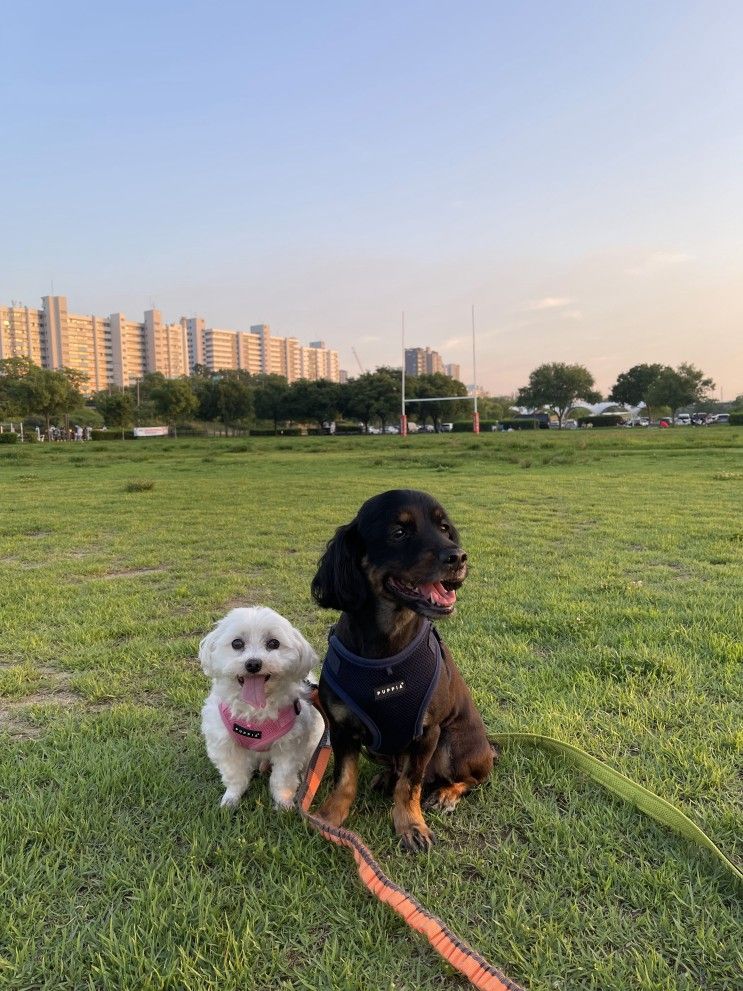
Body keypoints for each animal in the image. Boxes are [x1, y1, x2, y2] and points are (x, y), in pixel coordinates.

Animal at [199, 608, 324, 808]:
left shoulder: (289, 746)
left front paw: (284, 803)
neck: (255, 710)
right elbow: (235, 775)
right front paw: (232, 798)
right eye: (237, 643)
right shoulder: (225, 744)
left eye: (273, 643)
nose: (253, 664)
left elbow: (282, 778)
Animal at [312, 490, 494, 852]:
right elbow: (345, 778)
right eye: (399, 533)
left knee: (470, 778)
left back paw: (447, 794)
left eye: (444, 529)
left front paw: (411, 825)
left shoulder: (428, 732)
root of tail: (490, 748)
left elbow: (411, 784)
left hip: (453, 744)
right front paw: (331, 818)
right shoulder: (341, 728)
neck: (386, 652)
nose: (458, 557)